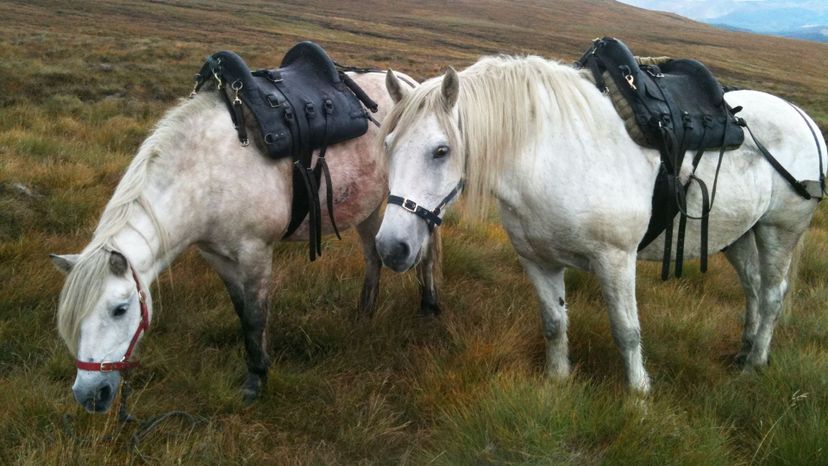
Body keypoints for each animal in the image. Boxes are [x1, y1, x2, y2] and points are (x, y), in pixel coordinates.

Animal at [47, 71, 436, 414]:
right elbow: (242, 311)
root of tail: (412, 83)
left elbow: (254, 315)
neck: (204, 174)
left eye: (120, 309)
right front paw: (259, 364)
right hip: (368, 208)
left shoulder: (255, 252)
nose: (89, 396)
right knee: (373, 256)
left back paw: (429, 306)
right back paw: (365, 313)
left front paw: (256, 381)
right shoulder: (217, 256)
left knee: (425, 254)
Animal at [376, 56, 828, 396]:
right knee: (752, 287)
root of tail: (803, 117)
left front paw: (639, 395)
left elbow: (626, 330)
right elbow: (554, 324)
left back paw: (755, 363)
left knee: (771, 294)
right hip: (737, 235)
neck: (548, 159)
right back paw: (744, 350)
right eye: (388, 146)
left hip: (778, 231)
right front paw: (558, 381)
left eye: (441, 151)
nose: (391, 248)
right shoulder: (537, 261)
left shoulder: (615, 260)